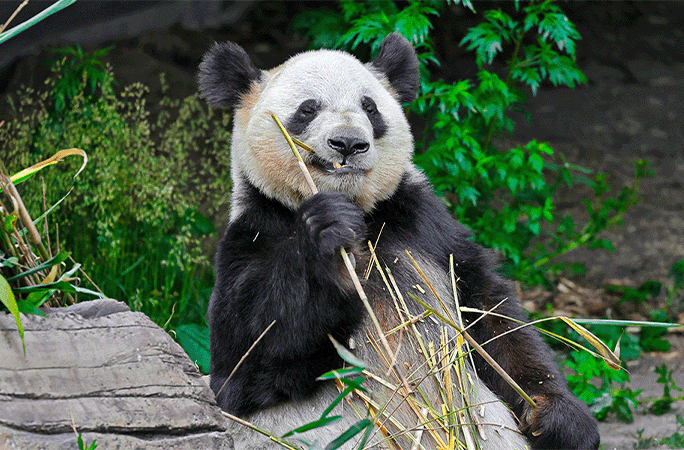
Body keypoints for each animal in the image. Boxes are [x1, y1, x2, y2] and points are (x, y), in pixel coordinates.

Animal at [199, 33, 600, 450]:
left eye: (370, 107)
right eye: (307, 109)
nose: (348, 143)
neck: (361, 213)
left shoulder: (424, 225)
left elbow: (491, 316)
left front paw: (558, 418)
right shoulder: (253, 234)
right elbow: (246, 361)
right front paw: (329, 235)